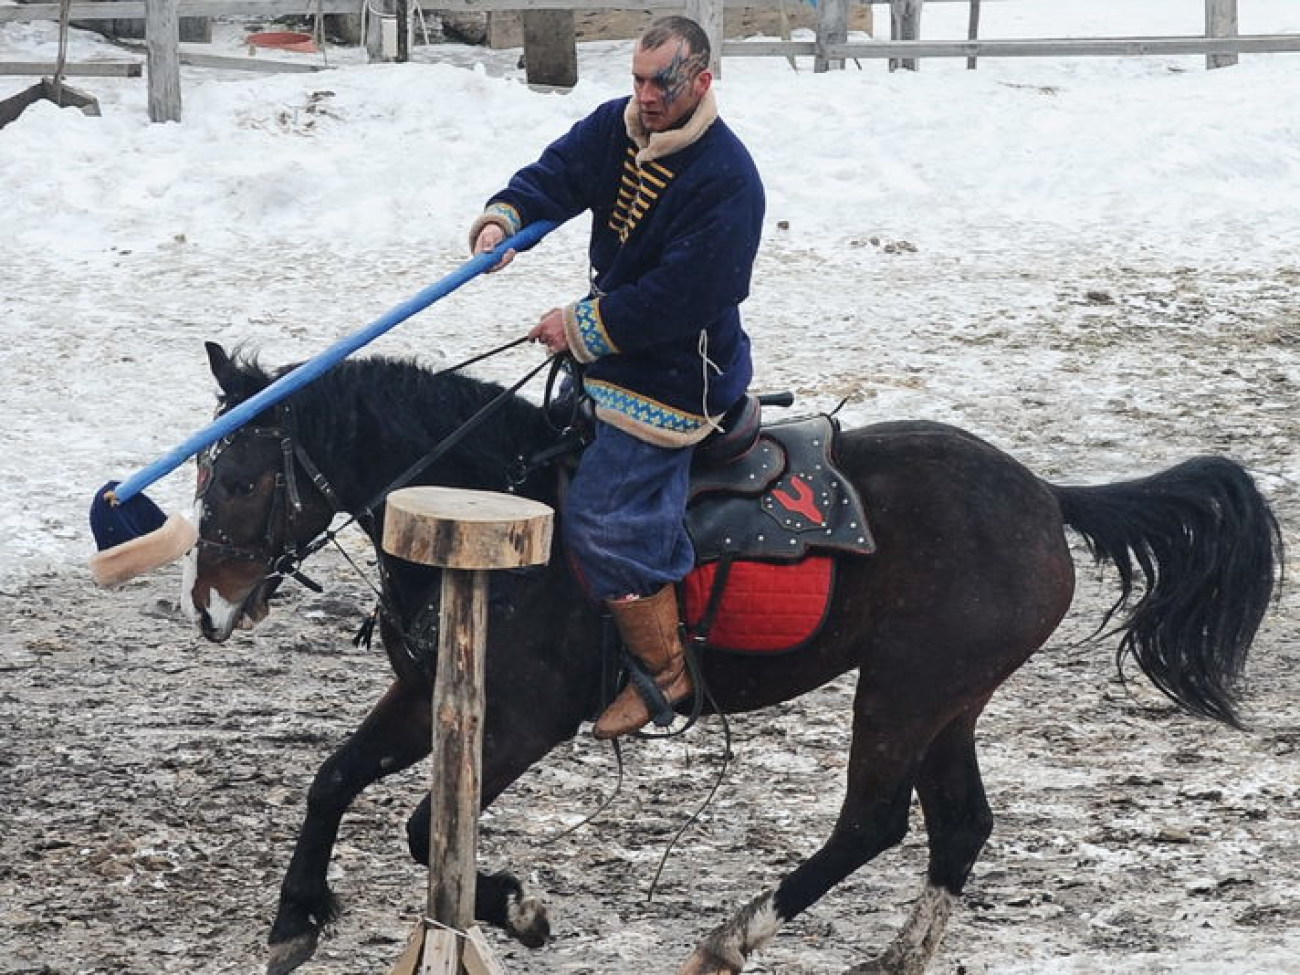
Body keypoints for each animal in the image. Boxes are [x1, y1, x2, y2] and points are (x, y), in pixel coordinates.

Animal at [185, 343, 1279, 975]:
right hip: (947, 699)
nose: (211, 603)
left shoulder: (523, 720)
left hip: (906, 689)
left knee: (873, 822)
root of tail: (1046, 496)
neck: (502, 501)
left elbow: (421, 831)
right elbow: (332, 780)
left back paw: (732, 937)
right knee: (959, 823)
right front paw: (294, 919)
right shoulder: (428, 692)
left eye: (239, 477)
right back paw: (893, 957)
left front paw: (523, 911)